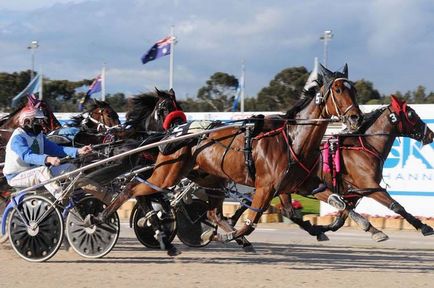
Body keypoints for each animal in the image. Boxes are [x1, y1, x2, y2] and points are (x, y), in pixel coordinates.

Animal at [105, 63, 362, 245]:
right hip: (167, 174)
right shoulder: (265, 188)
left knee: (211, 211)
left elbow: (338, 203)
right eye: (338, 89)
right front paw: (225, 236)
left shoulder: (302, 185)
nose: (356, 118)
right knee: (133, 188)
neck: (292, 139)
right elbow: (251, 222)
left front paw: (353, 226)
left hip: (211, 180)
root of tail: (174, 132)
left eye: (355, 89)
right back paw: (105, 216)